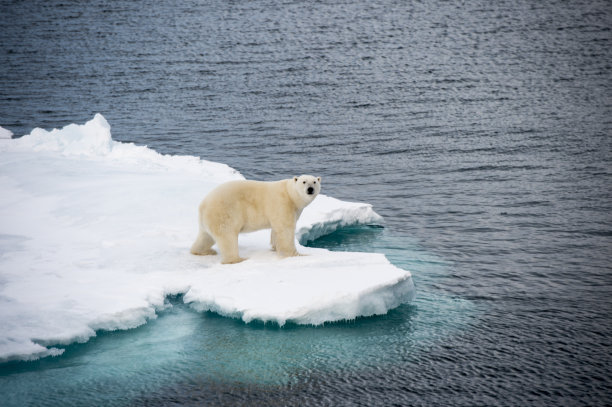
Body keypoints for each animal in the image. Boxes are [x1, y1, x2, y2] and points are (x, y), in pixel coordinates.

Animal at [191, 175, 322, 264]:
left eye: (314, 182)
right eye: (304, 181)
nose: (310, 189)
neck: (290, 194)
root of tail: (203, 205)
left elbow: (276, 229)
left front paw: (274, 247)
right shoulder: (282, 203)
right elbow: (285, 229)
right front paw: (297, 255)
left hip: (208, 219)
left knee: (206, 237)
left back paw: (203, 251)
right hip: (224, 212)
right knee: (227, 237)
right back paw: (238, 259)